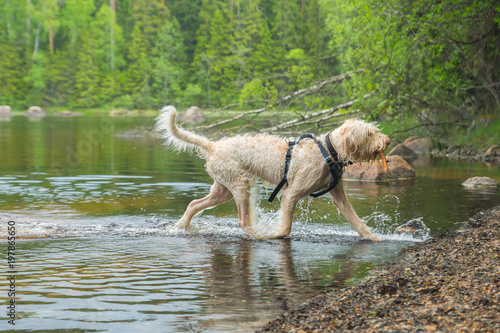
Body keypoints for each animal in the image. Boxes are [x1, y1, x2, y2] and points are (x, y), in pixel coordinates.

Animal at [156, 105, 390, 239]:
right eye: (369, 133)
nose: (387, 140)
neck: (327, 151)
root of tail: (214, 145)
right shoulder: (291, 194)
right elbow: (285, 228)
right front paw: (276, 236)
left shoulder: (339, 196)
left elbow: (357, 221)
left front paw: (375, 238)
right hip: (239, 185)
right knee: (243, 221)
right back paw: (259, 235)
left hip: (223, 189)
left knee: (194, 204)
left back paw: (181, 227)